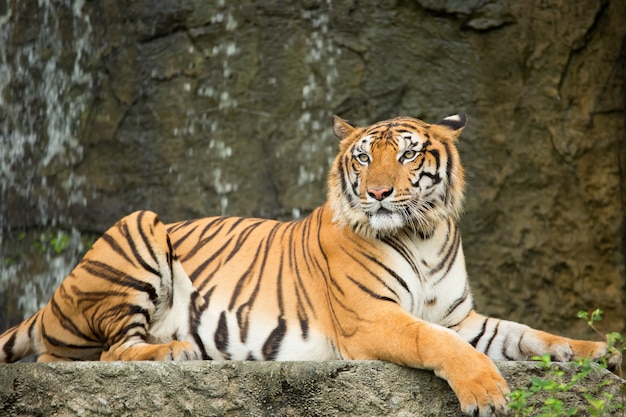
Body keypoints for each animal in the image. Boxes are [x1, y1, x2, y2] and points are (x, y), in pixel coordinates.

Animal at [0, 112, 616, 414]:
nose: (378, 193)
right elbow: (437, 343)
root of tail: (52, 298)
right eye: (363, 157)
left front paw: (597, 351)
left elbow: (525, 333)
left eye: (409, 153)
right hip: (140, 227)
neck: (424, 232)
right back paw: (174, 350)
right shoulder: (372, 318)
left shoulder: (461, 317)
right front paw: (486, 393)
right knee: (106, 353)